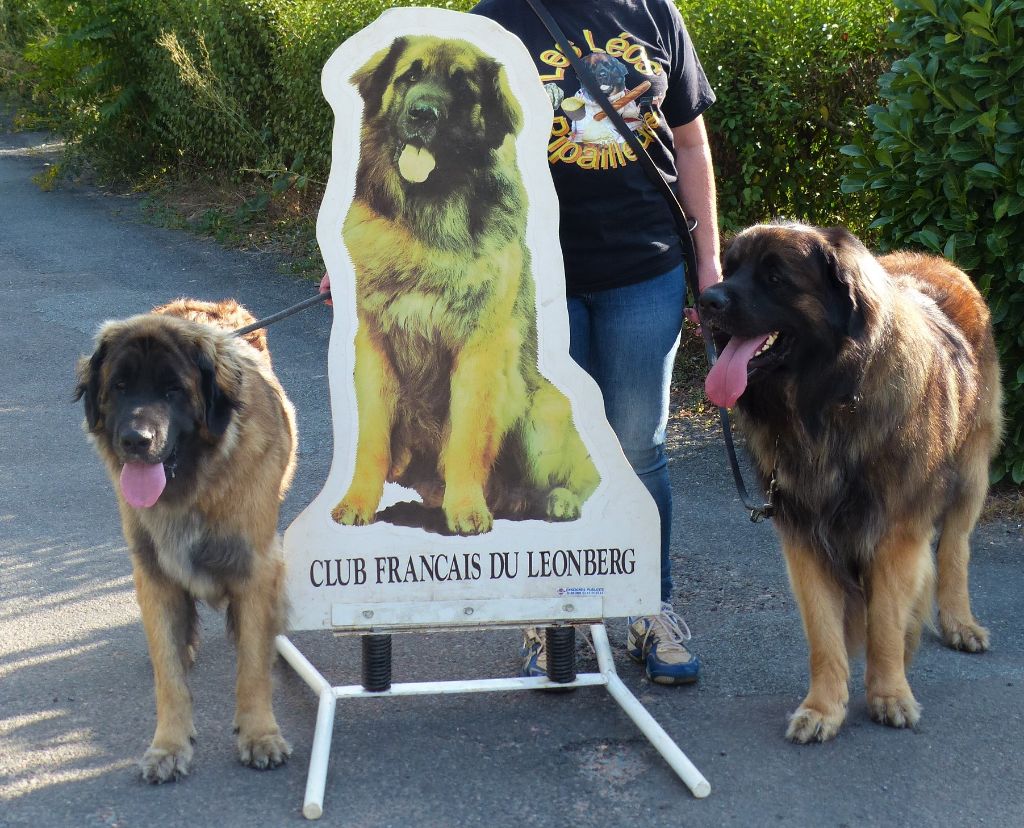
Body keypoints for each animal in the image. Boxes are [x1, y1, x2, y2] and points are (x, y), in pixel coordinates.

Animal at [72, 298, 294, 781]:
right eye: (119, 386)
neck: (194, 488)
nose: (136, 440)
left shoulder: (254, 567)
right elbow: (168, 674)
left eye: (173, 390)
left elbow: (252, 667)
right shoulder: (153, 573)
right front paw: (168, 746)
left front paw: (260, 735)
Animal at [327, 35, 598, 532]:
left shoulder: (479, 351)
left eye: (461, 88)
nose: (422, 114)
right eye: (410, 77)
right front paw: (358, 502)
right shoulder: (375, 346)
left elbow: (467, 438)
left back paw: (552, 500)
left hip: (542, 412)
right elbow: (371, 439)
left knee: (580, 474)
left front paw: (468, 508)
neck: (429, 217)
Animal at [700, 221, 1003, 741]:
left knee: (953, 549)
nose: (706, 300)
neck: (827, 406)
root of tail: (937, 260)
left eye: (775, 277)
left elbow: (884, 622)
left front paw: (889, 694)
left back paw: (958, 622)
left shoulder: (893, 533)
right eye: (730, 268)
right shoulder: (804, 536)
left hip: (970, 473)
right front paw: (823, 707)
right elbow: (824, 633)